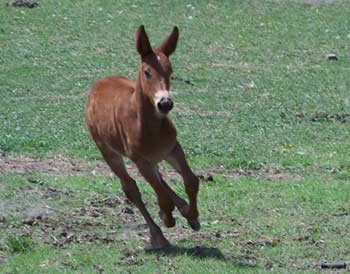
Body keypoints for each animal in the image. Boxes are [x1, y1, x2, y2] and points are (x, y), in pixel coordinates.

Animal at [85, 25, 200, 248]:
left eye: (170, 71)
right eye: (147, 72)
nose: (165, 103)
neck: (148, 127)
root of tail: (98, 83)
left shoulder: (173, 148)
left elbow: (191, 180)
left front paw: (192, 216)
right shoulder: (140, 160)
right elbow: (160, 194)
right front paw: (167, 217)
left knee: (159, 179)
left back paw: (181, 207)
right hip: (107, 150)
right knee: (131, 188)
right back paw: (158, 235)